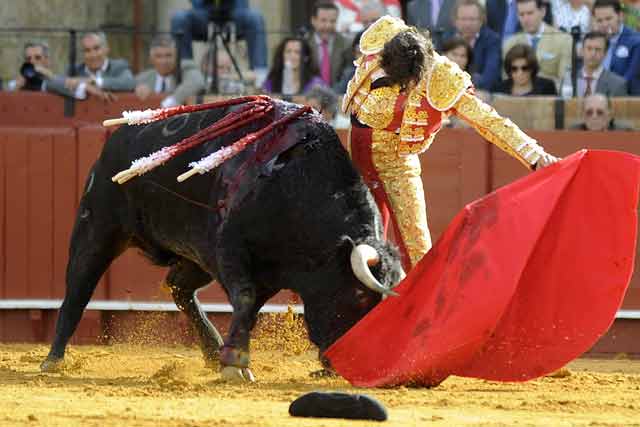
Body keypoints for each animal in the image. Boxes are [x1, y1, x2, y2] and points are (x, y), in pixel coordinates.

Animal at [40, 100, 402, 382]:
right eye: (359, 296)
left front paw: (229, 356)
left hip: (194, 255)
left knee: (179, 288)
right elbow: (244, 298)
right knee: (79, 288)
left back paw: (213, 350)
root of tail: (117, 137)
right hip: (98, 227)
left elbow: (249, 307)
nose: (346, 363)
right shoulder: (230, 251)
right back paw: (53, 360)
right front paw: (236, 365)